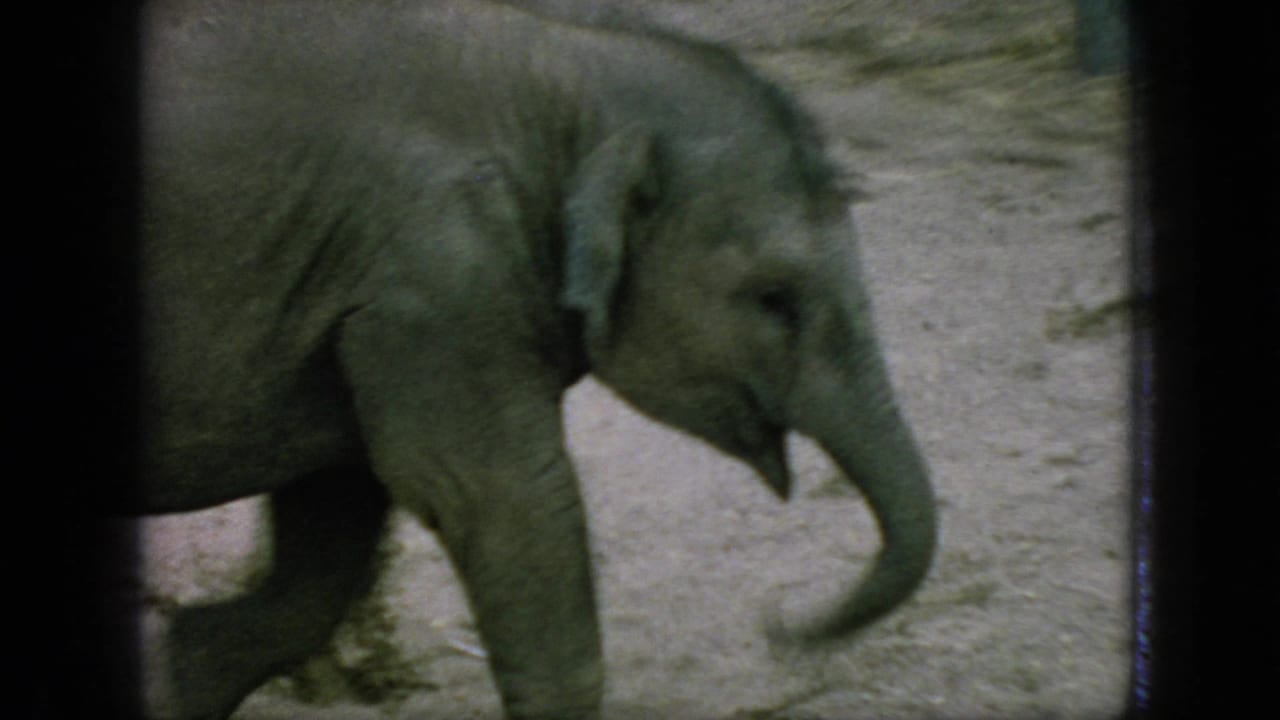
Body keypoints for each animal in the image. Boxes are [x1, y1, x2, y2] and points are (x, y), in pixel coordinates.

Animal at [134, 1, 937, 718]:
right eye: (775, 299)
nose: (778, 626)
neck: (566, 73)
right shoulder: (438, 284)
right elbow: (499, 496)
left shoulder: (351, 299)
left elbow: (334, 509)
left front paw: (181, 673)